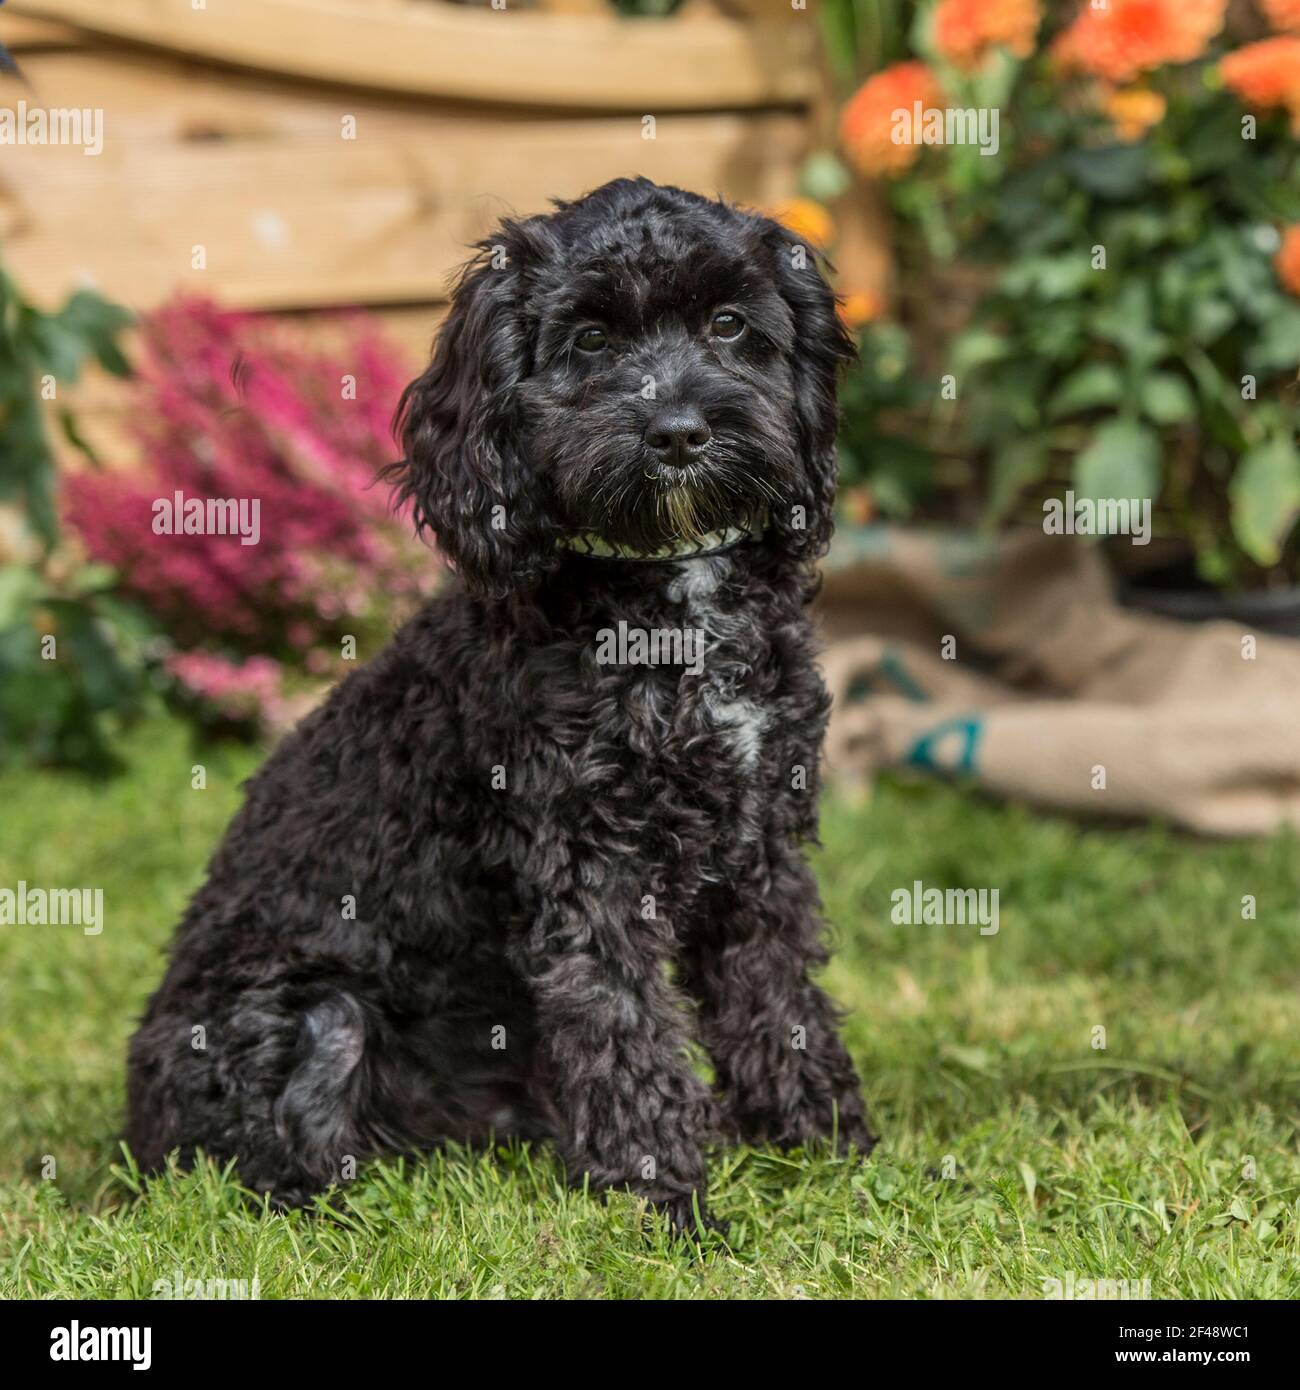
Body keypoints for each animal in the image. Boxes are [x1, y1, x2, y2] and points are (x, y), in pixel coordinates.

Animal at [124, 179, 873, 1234]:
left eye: (730, 325)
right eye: (591, 341)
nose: (680, 432)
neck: (670, 609)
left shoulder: (758, 847)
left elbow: (781, 1003)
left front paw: (827, 1150)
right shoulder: (586, 867)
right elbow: (626, 1031)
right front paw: (667, 1202)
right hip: (314, 1022)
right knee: (252, 1172)